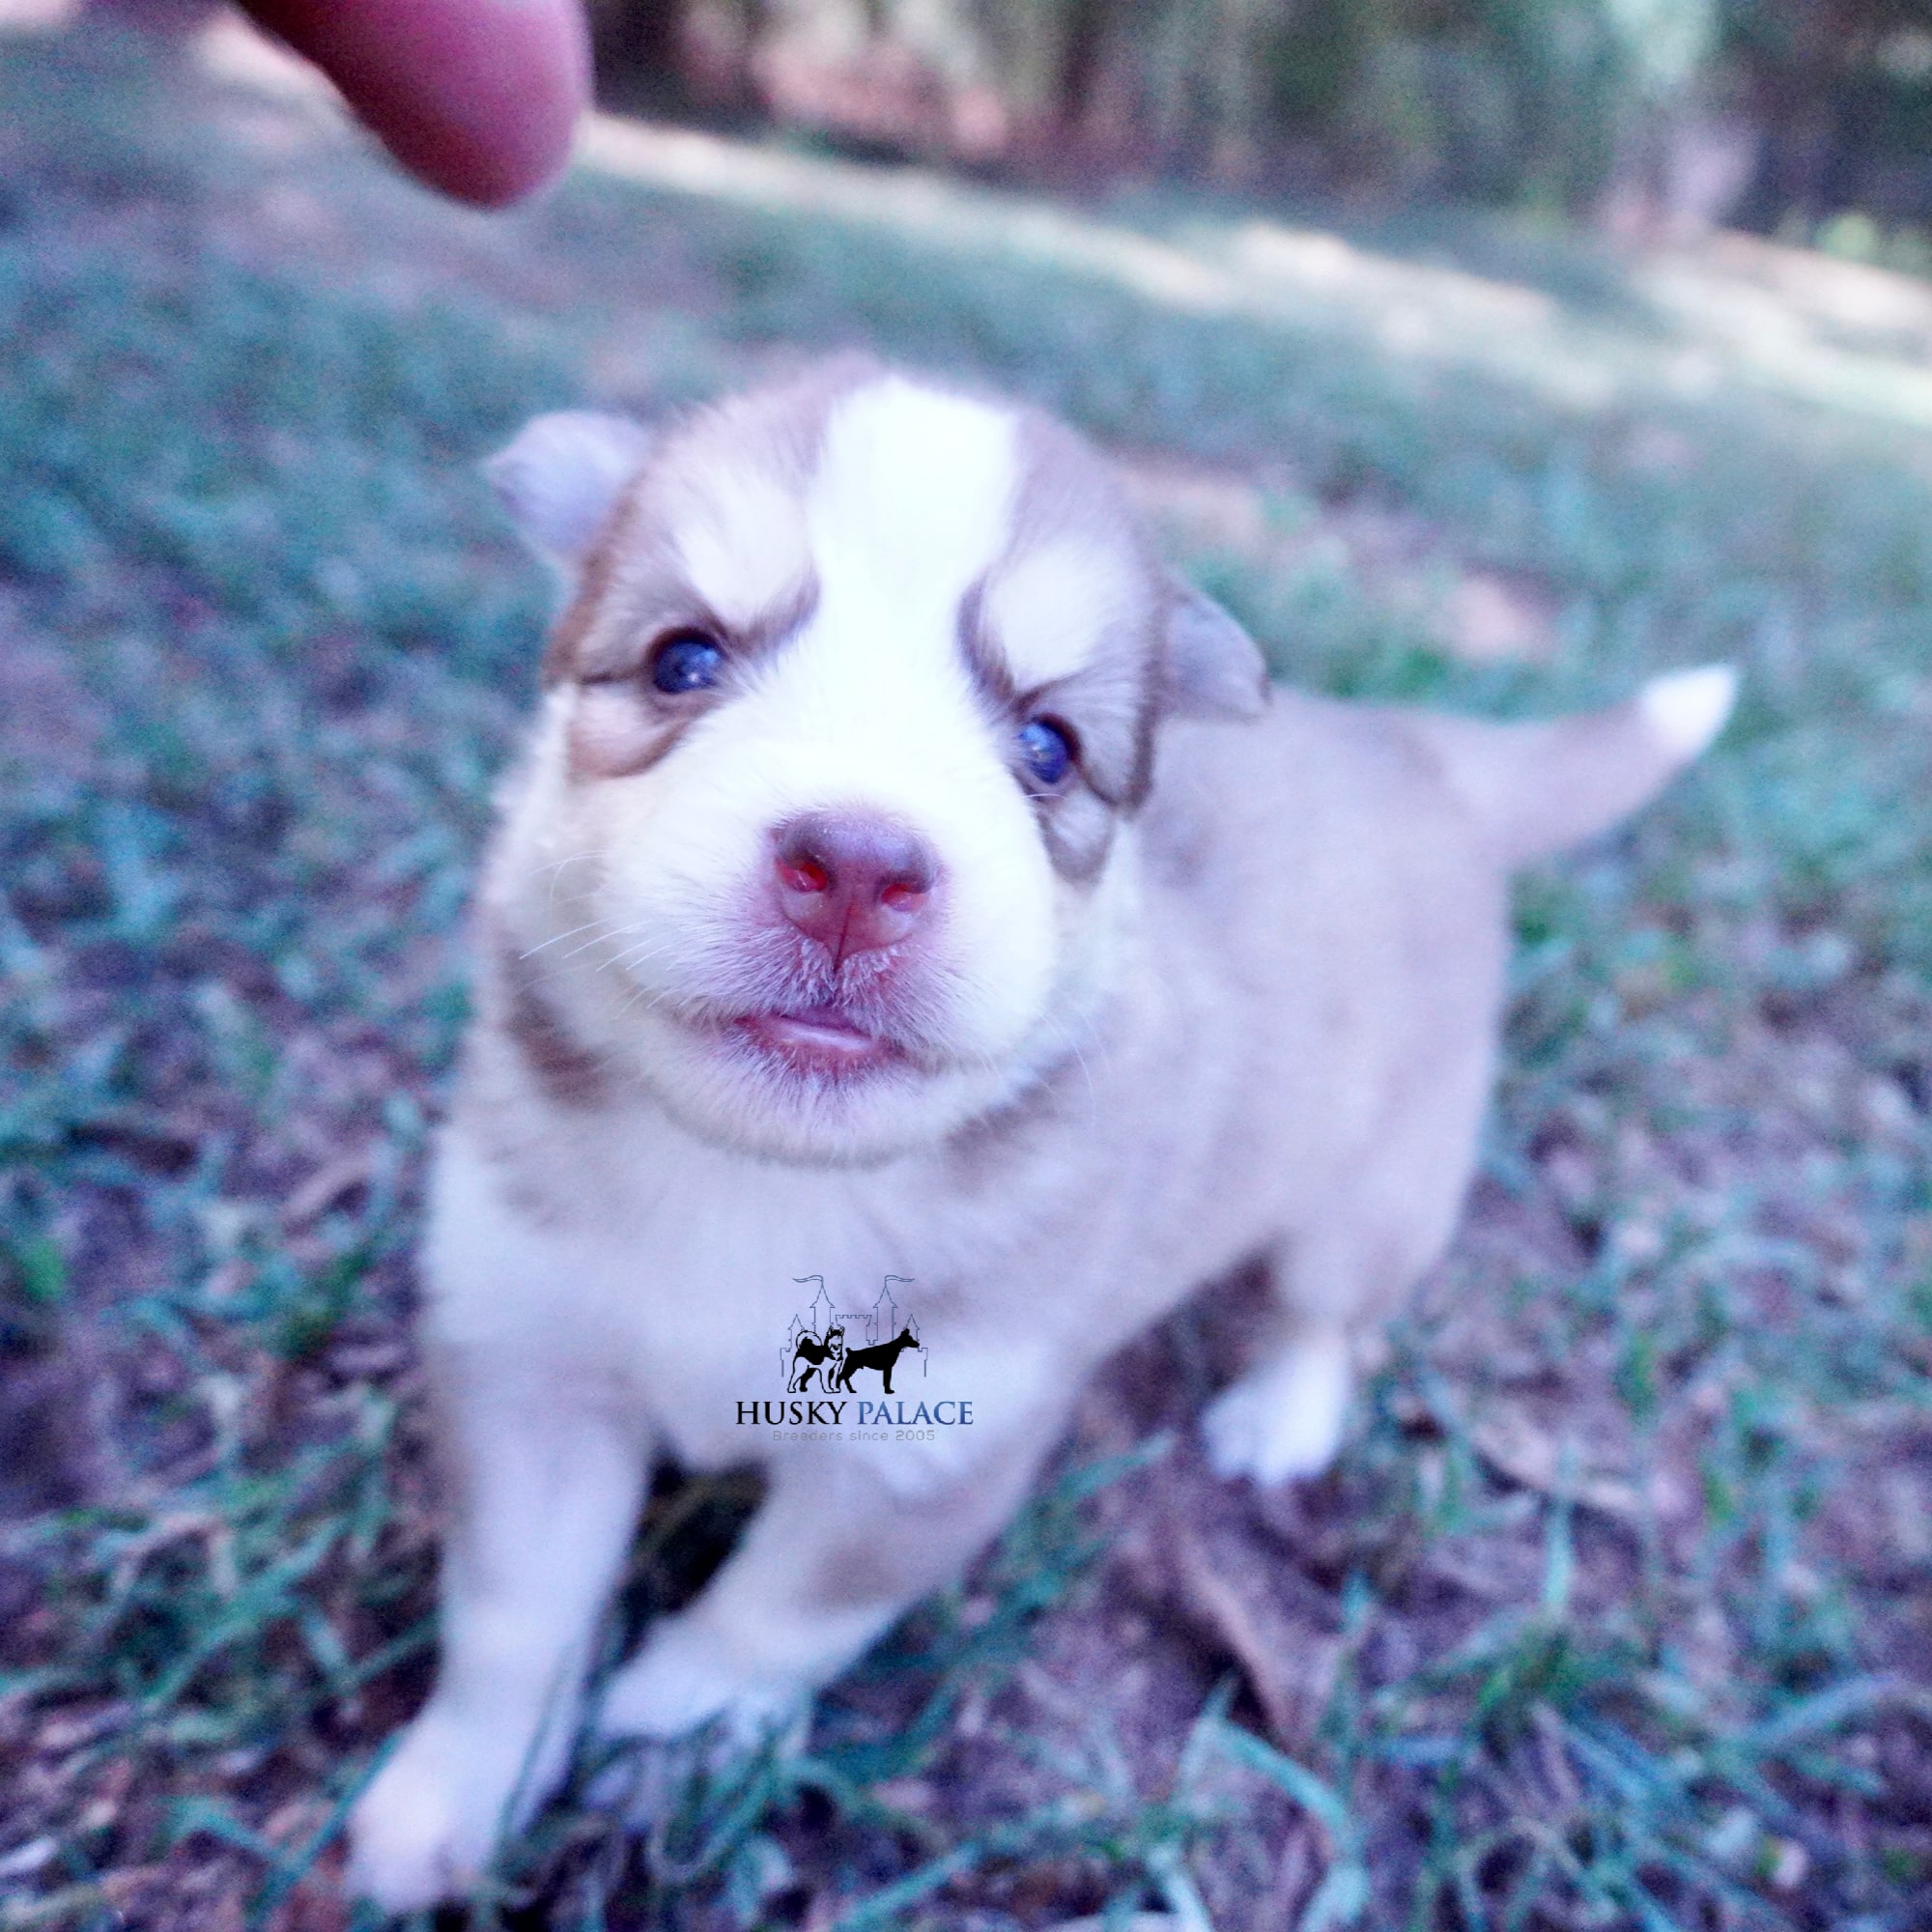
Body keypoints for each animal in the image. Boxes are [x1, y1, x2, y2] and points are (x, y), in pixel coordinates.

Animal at [348, 355, 1739, 1909]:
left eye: (1047, 747)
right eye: (681, 662)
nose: (857, 867)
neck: (766, 1184)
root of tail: (1408, 745)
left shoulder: (932, 1451)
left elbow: (779, 1612)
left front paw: (677, 1731)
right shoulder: (526, 1354)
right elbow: (513, 1610)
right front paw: (452, 1798)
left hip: (1379, 1186)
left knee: (1331, 1311)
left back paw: (1277, 1413)